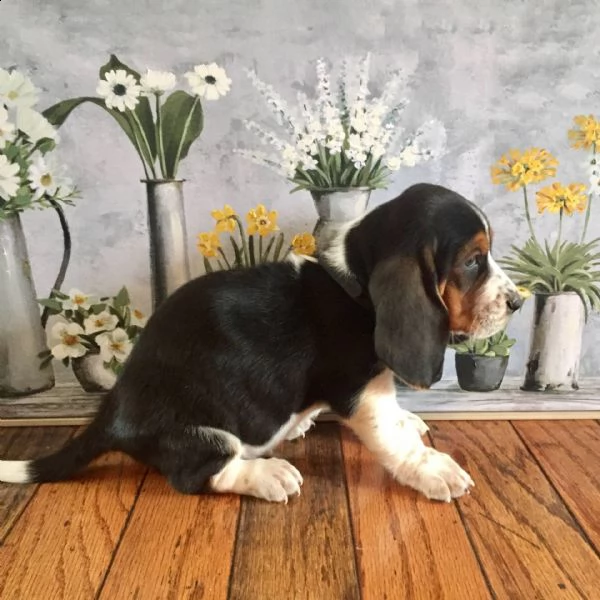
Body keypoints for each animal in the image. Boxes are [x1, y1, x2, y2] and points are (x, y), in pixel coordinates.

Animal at [0, 182, 520, 502]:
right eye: (473, 261)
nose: (517, 301)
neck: (354, 281)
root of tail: (109, 414)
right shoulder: (359, 390)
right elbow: (390, 435)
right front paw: (434, 469)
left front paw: (408, 419)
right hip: (202, 434)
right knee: (202, 473)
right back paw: (268, 473)